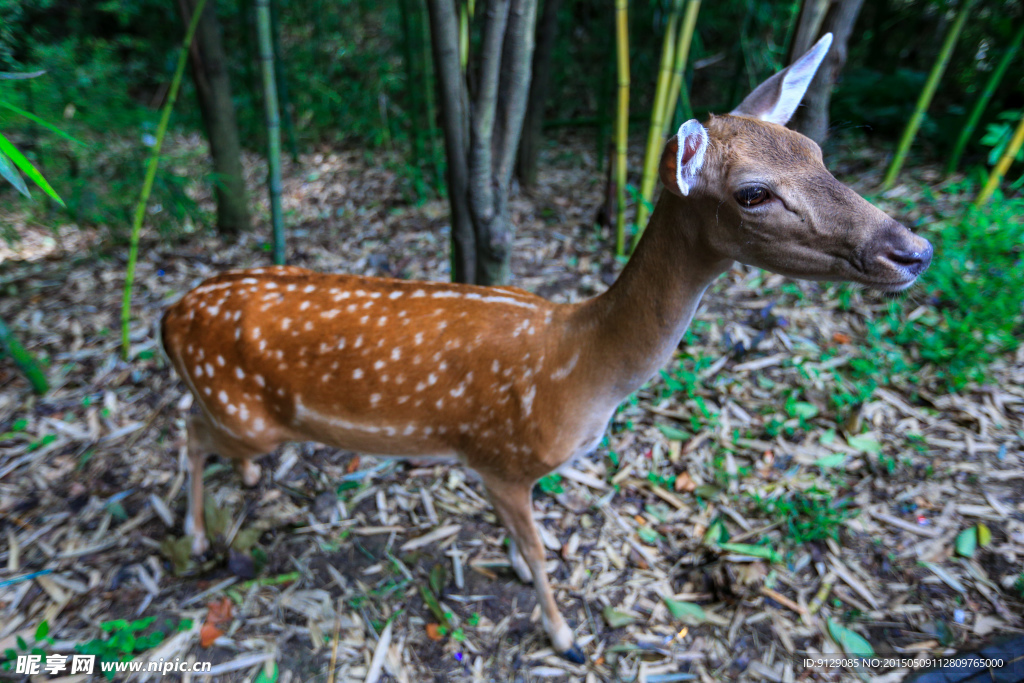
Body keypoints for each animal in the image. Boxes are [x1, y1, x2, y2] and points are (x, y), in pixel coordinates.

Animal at [161, 36, 929, 663]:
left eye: (819, 154)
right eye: (752, 193)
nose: (914, 249)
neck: (582, 371)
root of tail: (170, 314)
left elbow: (521, 541)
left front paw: (520, 568)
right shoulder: (502, 456)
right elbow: (535, 545)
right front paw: (564, 636)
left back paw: (247, 484)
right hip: (242, 410)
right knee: (189, 428)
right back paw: (196, 536)